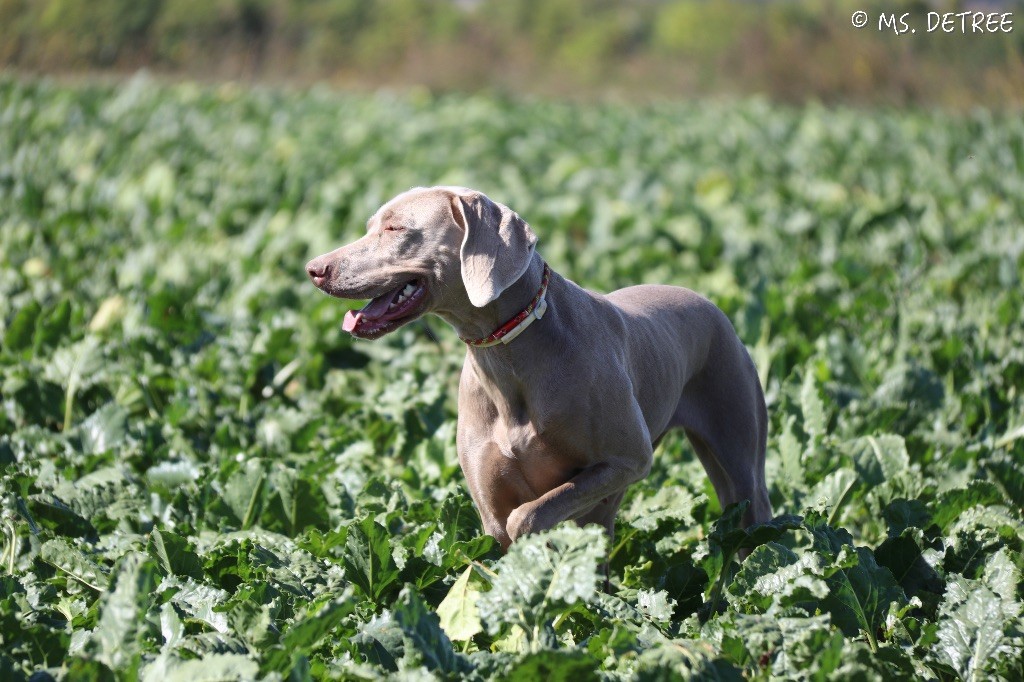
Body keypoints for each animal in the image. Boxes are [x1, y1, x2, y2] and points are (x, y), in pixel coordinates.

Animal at [307, 184, 770, 548]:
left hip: (739, 454)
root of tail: (709, 301)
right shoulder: (490, 508)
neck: (507, 353)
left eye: (395, 229)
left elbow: (528, 515)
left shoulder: (628, 460)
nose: (314, 269)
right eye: (370, 225)